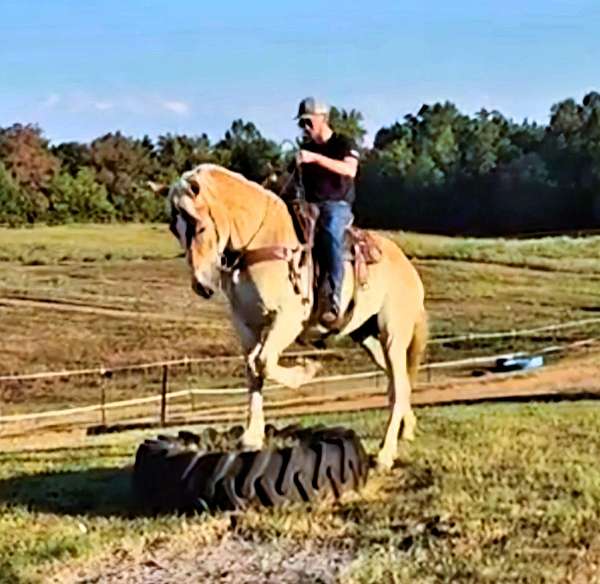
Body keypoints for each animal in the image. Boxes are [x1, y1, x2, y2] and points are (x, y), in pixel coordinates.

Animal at [159, 163, 426, 470]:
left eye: (199, 225)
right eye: (174, 228)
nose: (201, 286)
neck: (262, 242)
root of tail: (408, 268)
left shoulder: (287, 320)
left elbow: (263, 362)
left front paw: (306, 370)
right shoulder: (246, 324)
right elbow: (252, 370)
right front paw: (251, 437)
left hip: (393, 333)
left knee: (399, 385)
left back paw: (384, 454)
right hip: (368, 337)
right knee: (398, 383)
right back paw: (407, 429)